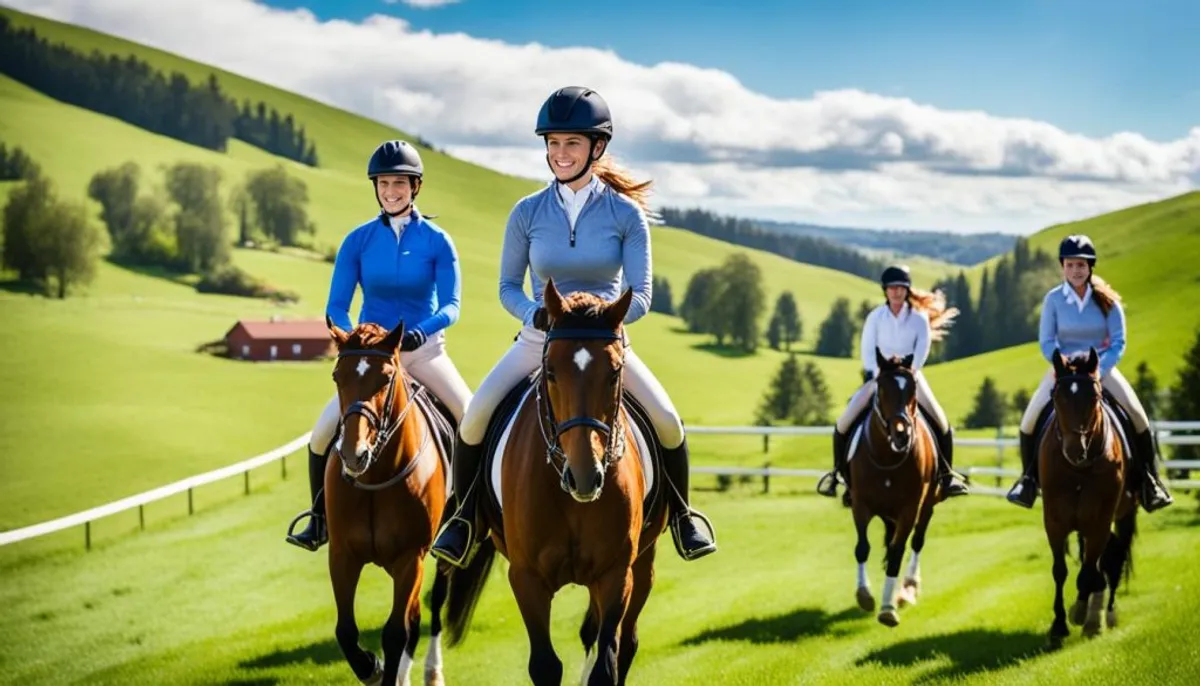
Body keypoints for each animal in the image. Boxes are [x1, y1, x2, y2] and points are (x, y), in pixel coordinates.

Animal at [324, 321, 451, 686]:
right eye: (337, 376)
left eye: (385, 378)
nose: (354, 454)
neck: (374, 479)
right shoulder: (342, 554)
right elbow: (345, 631)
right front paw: (371, 667)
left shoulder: (410, 559)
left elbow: (395, 633)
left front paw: (383, 668)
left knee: (434, 604)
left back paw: (432, 671)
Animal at [441, 279, 672, 686]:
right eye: (550, 372)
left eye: (615, 373)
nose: (585, 476)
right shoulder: (527, 578)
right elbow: (546, 666)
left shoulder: (616, 574)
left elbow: (606, 664)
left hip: (643, 565)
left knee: (624, 642)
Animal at [849, 347, 940, 628]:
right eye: (881, 388)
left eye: (913, 388)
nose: (902, 434)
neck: (888, 456)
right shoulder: (860, 504)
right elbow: (862, 547)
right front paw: (864, 595)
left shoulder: (910, 509)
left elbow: (898, 551)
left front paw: (888, 608)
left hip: (927, 506)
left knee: (917, 541)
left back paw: (908, 588)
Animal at [1041, 347, 1132, 647]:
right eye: (1057, 397)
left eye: (1093, 397)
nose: (1074, 450)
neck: (1078, 470)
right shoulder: (1055, 521)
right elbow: (1060, 570)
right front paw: (1059, 625)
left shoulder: (1100, 521)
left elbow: (1090, 571)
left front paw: (1082, 614)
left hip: (1123, 515)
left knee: (1114, 559)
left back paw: (1105, 614)